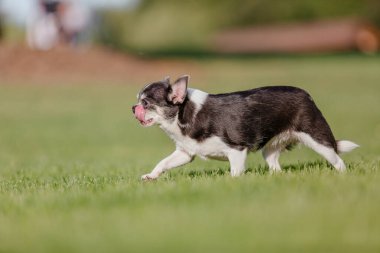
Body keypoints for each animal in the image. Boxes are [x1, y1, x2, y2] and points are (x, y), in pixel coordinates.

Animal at [132, 75, 358, 180]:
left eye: (146, 103)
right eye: (138, 101)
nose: (133, 107)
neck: (185, 113)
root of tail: (307, 95)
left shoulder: (236, 150)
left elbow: (235, 172)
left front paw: (232, 182)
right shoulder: (185, 153)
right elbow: (163, 163)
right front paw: (151, 176)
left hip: (317, 137)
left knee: (337, 159)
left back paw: (343, 175)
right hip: (270, 149)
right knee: (274, 164)